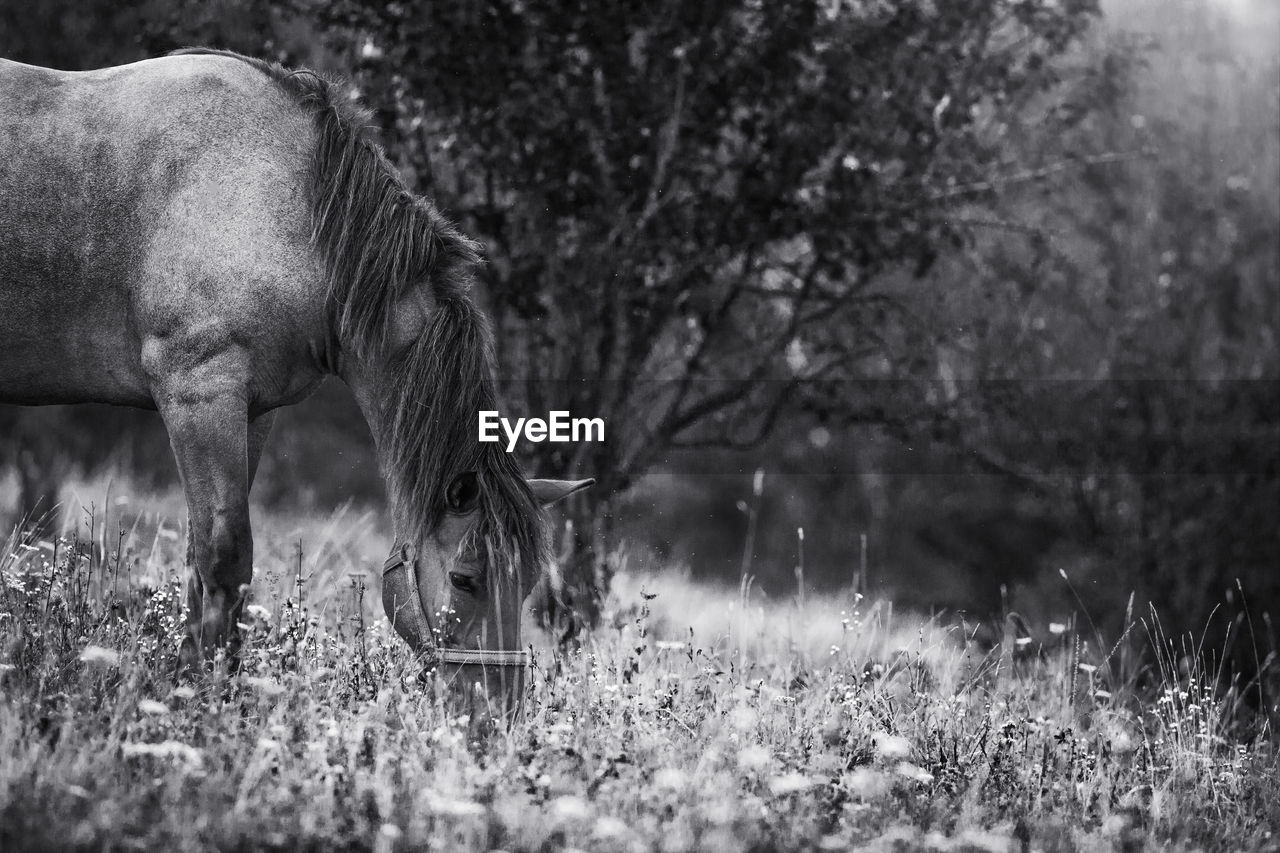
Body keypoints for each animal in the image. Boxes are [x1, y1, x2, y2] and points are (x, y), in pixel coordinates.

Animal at [0, 48, 588, 712]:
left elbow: (207, 567)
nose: (497, 711)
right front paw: (205, 701)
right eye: (466, 579)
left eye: (530, 581)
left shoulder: (252, 411)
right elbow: (223, 558)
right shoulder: (200, 395)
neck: (289, 206)